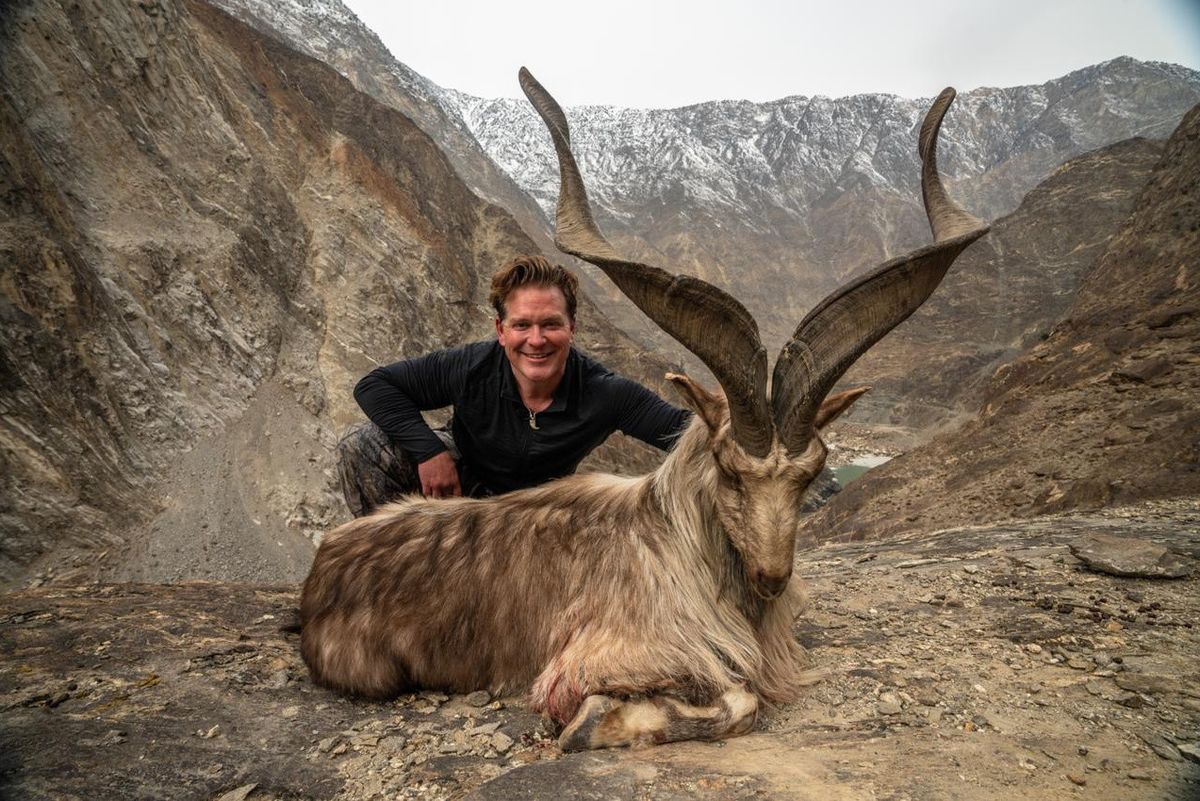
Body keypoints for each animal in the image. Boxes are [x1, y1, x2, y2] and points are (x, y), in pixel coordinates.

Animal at [300, 69, 989, 750]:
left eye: (813, 474)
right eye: (729, 470)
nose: (772, 577)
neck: (679, 543)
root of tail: (320, 568)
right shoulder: (603, 658)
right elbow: (739, 700)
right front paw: (590, 725)